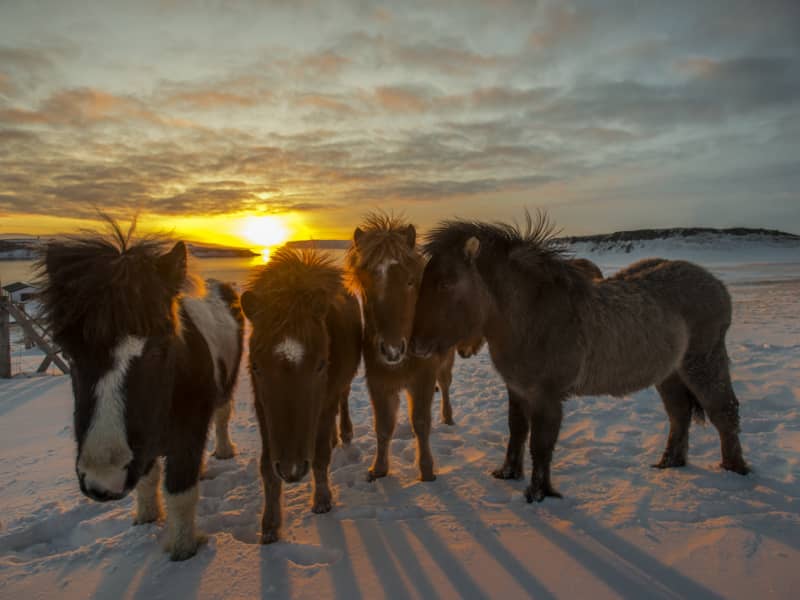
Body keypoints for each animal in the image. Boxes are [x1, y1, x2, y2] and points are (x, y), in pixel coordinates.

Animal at [239, 248, 360, 544]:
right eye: (256, 366)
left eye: (321, 364)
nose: (291, 469)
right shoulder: (262, 408)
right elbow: (267, 468)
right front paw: (270, 525)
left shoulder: (325, 402)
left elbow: (320, 456)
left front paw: (322, 500)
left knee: (343, 400)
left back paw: (344, 433)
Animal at [344, 213, 444, 480]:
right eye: (365, 285)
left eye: (410, 282)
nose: (392, 350)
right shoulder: (379, 383)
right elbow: (383, 426)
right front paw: (379, 468)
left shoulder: (423, 379)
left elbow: (421, 422)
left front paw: (427, 470)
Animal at [412, 213, 752, 504]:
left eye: (446, 282)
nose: (416, 344)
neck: (534, 317)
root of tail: (715, 283)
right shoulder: (517, 390)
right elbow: (517, 432)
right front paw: (508, 473)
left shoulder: (547, 396)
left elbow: (541, 445)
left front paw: (537, 493)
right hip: (669, 374)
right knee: (679, 414)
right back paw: (669, 463)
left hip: (703, 362)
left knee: (724, 412)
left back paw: (734, 470)